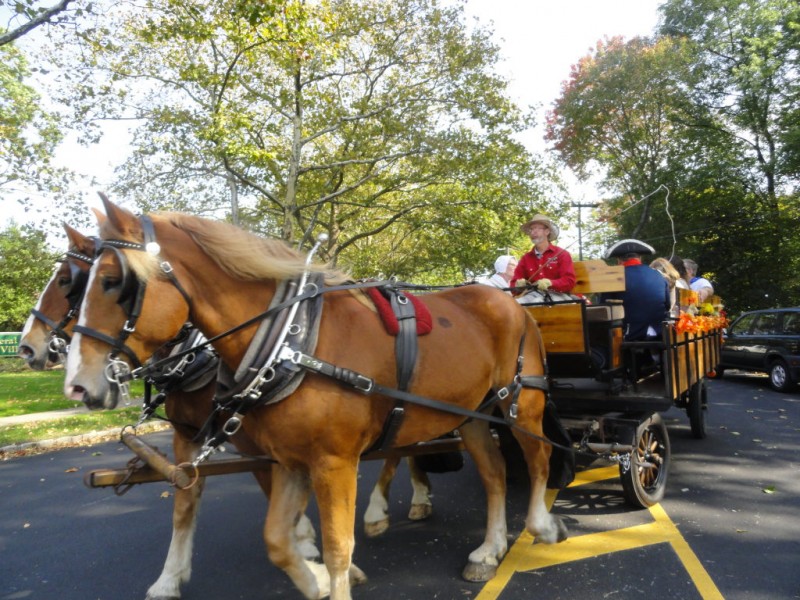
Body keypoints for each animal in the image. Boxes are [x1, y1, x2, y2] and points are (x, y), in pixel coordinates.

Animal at [65, 198, 568, 600]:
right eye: (78, 286)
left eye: (111, 282)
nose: (77, 385)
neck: (290, 341)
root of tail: (514, 303)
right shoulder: (288, 458)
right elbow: (276, 539)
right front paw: (317, 579)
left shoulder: (333, 462)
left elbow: (339, 545)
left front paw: (332, 569)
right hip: (472, 414)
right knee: (494, 472)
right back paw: (489, 548)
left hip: (522, 405)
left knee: (539, 458)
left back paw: (540, 525)